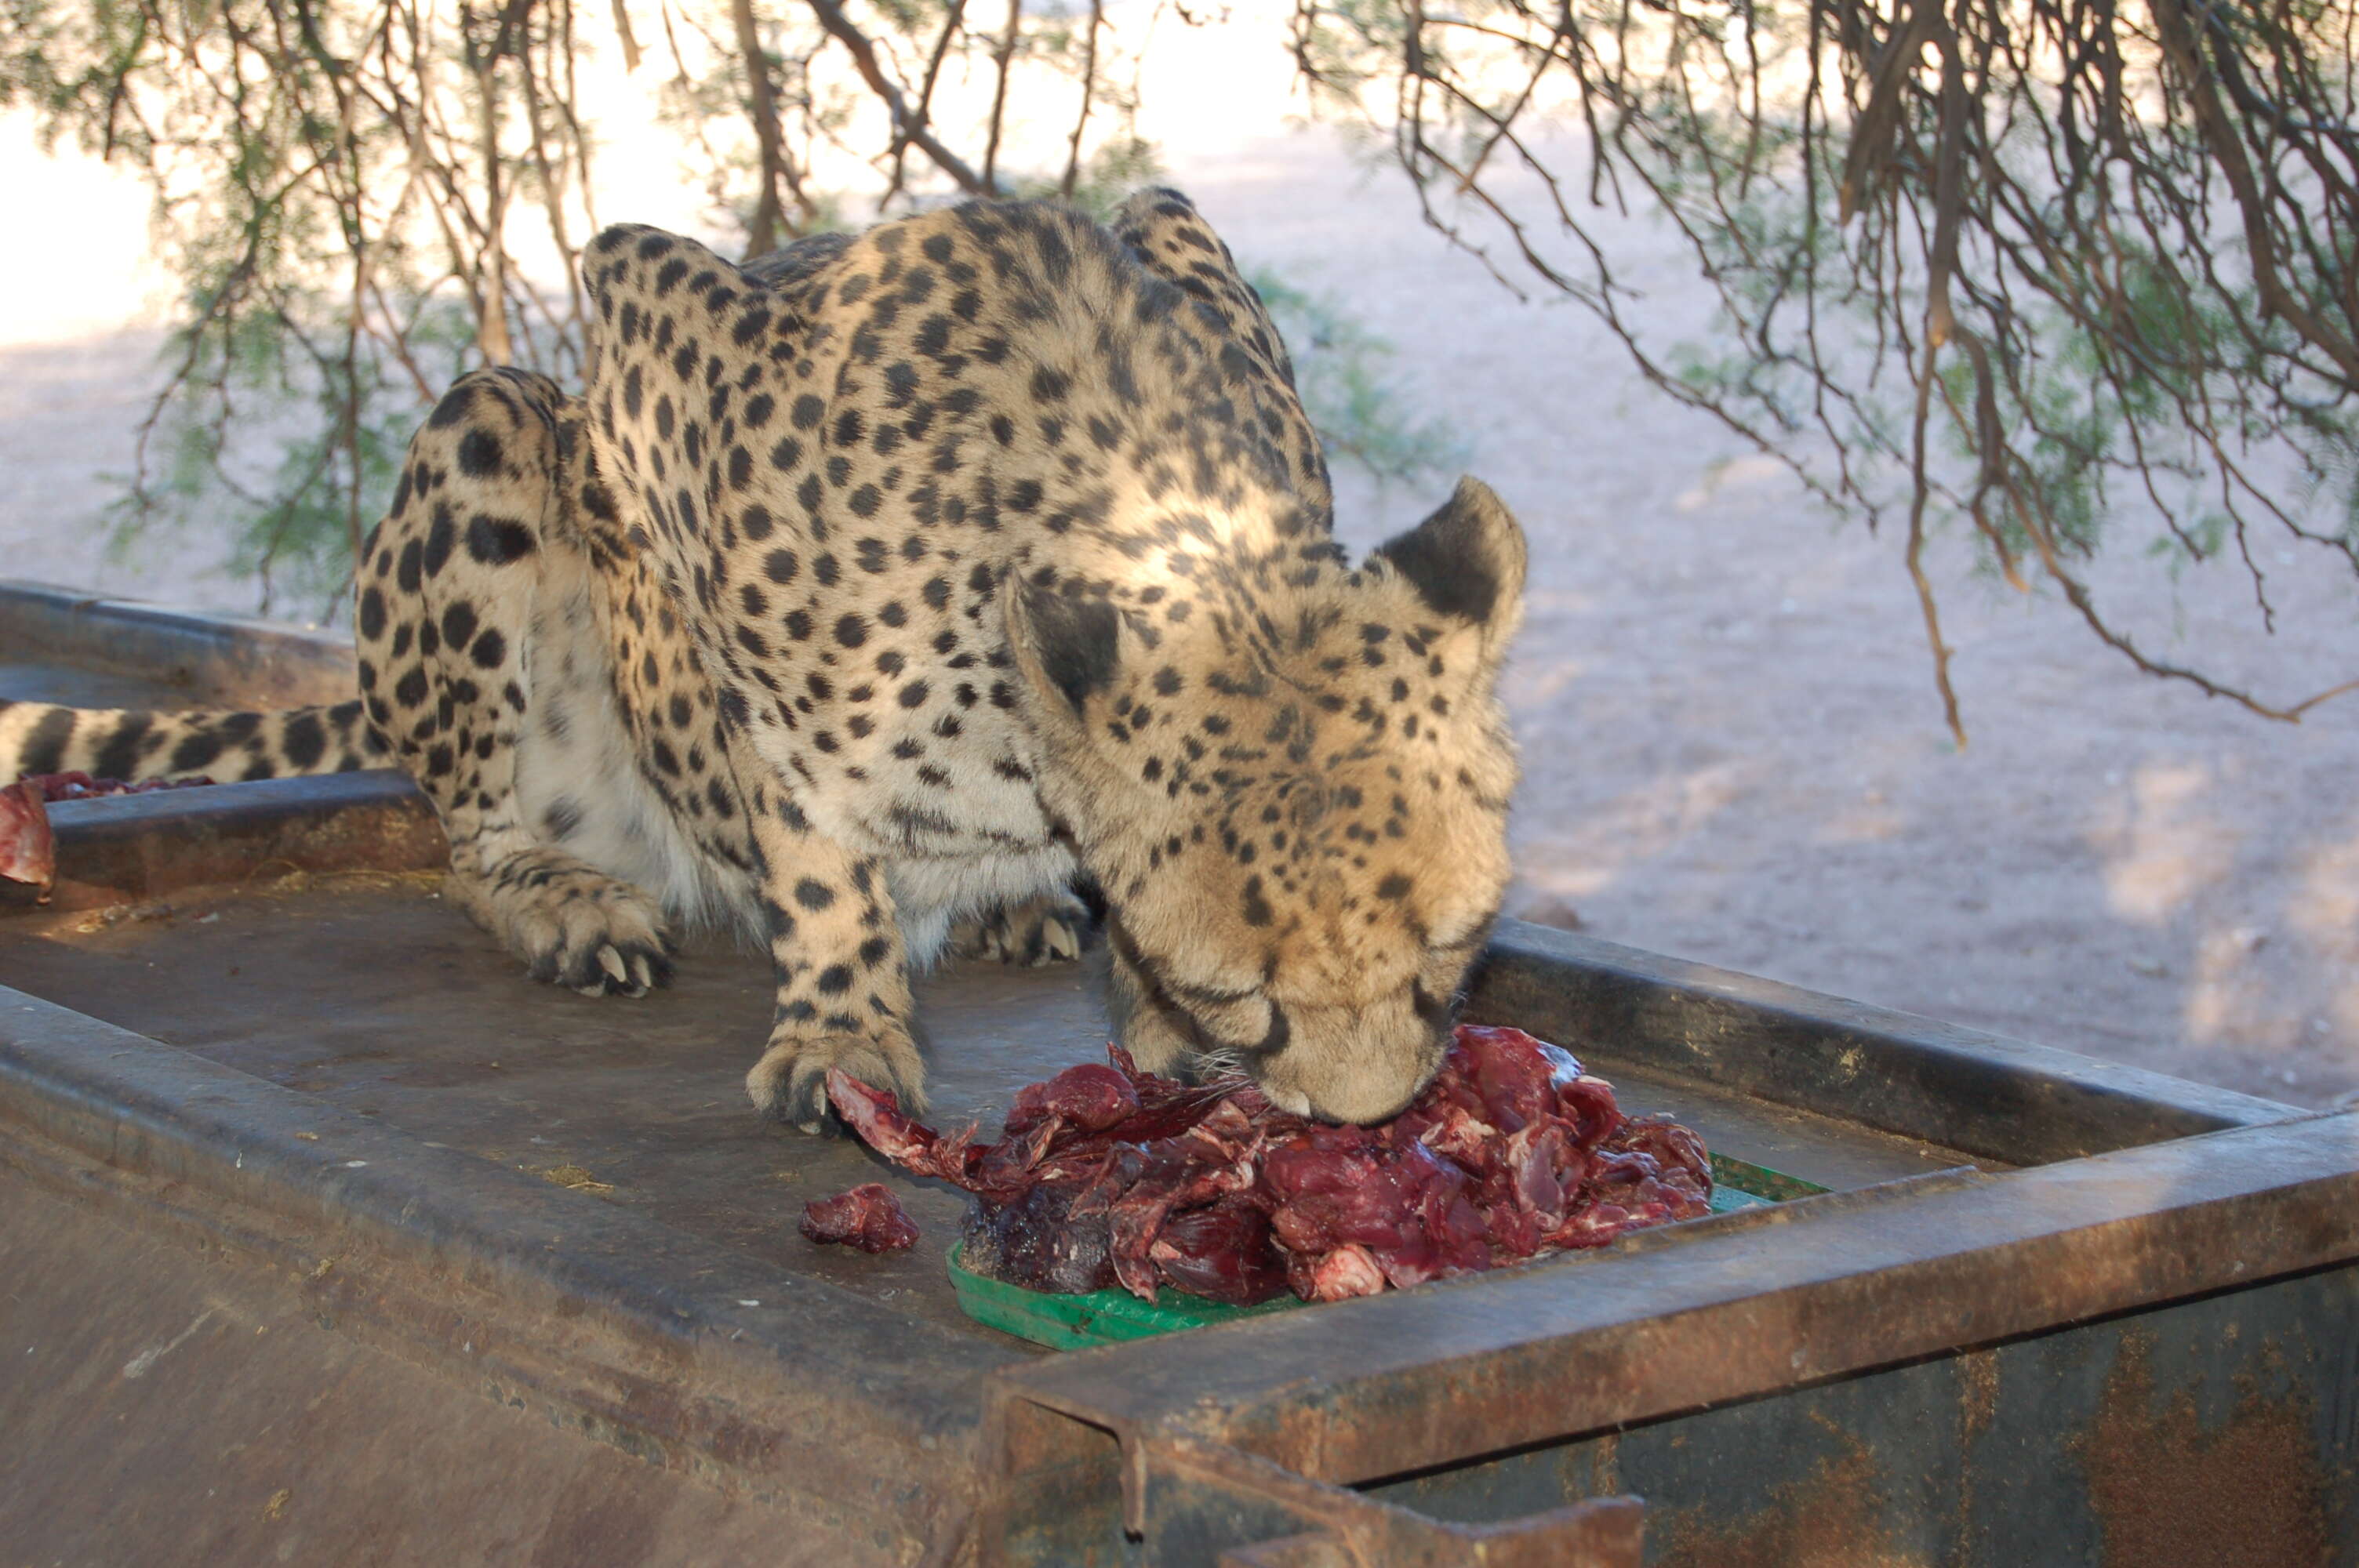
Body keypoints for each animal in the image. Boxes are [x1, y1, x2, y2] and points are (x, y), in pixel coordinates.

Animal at [4, 192, 1528, 1127]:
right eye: (1244, 996)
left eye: (1447, 960)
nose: (1367, 1117)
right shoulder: (649, 317)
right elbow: (805, 818)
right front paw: (842, 1030)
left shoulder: (1173, 223)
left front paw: (1131, 999)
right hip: (496, 420)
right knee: (464, 842)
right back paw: (565, 903)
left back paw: (1011, 899)